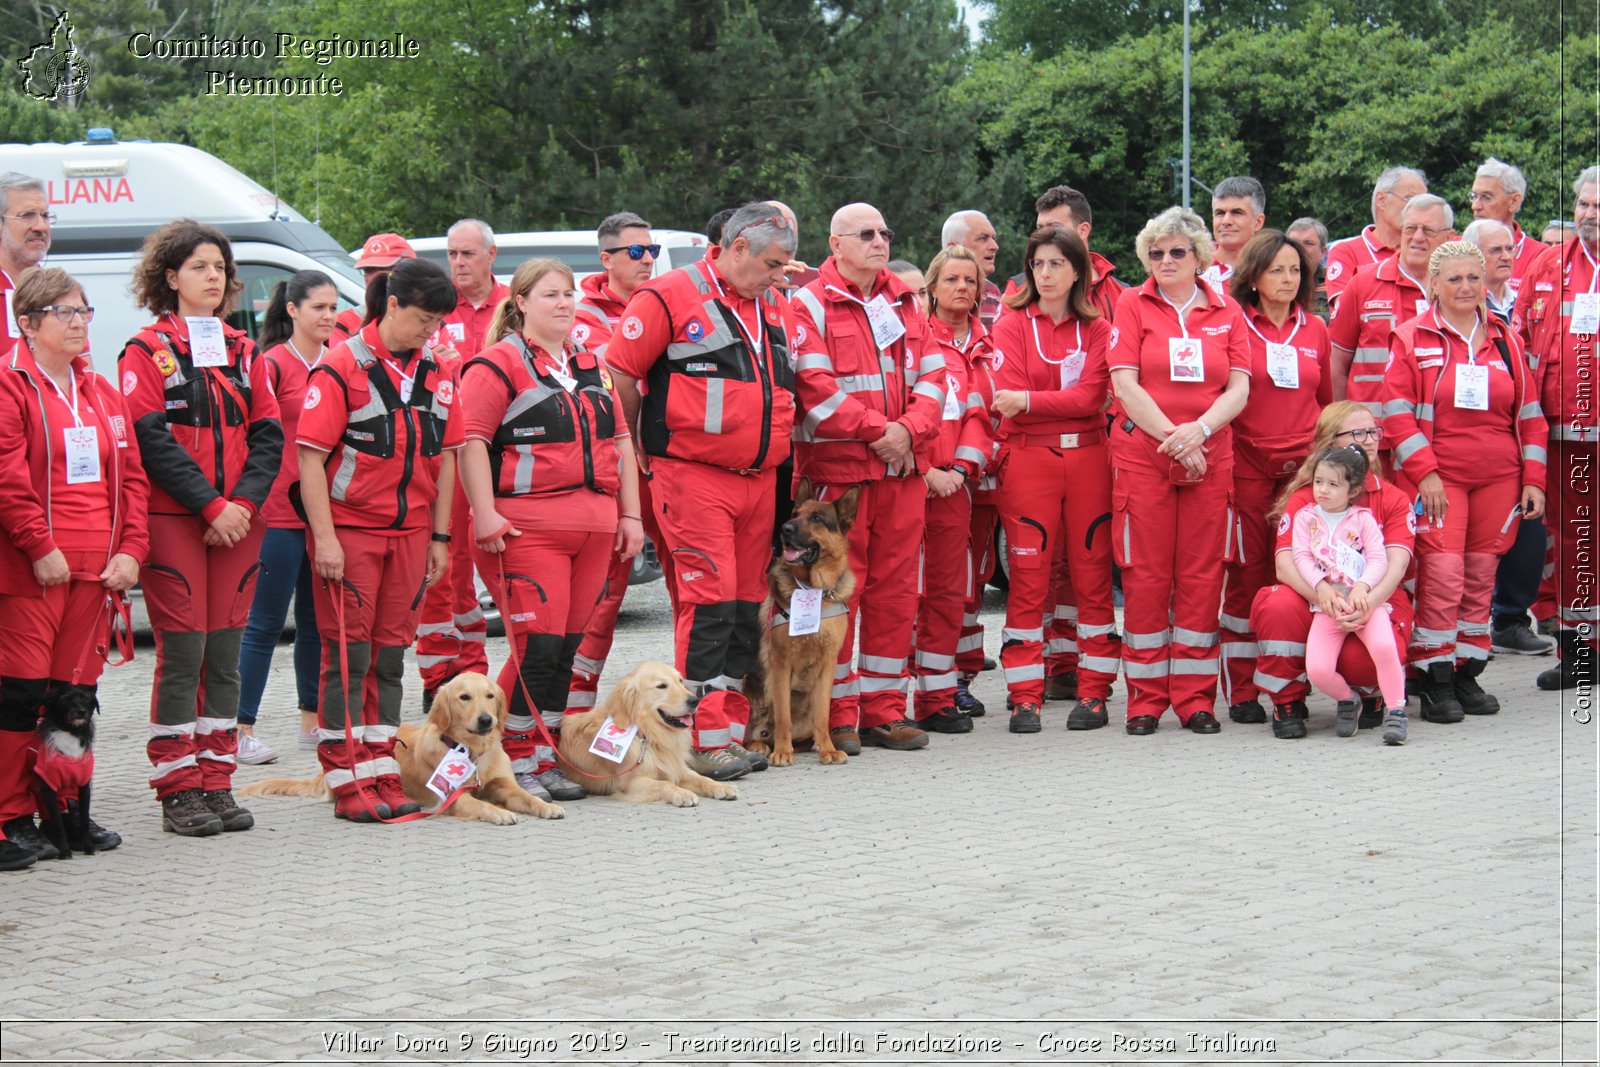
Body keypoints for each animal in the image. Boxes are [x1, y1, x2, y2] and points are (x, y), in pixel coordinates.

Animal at [31, 687, 99, 863]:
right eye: (66, 698)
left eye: (85, 698)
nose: (81, 711)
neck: (70, 731)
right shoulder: (49, 789)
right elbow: (58, 824)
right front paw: (64, 851)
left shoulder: (84, 787)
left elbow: (84, 820)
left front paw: (89, 847)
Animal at [742, 483, 857, 767]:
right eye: (796, 514)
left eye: (816, 518)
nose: (785, 528)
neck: (815, 589)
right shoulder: (781, 663)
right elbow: (783, 714)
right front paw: (783, 752)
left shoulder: (828, 664)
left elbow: (823, 714)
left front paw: (827, 749)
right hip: (751, 687)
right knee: (753, 731)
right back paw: (761, 746)